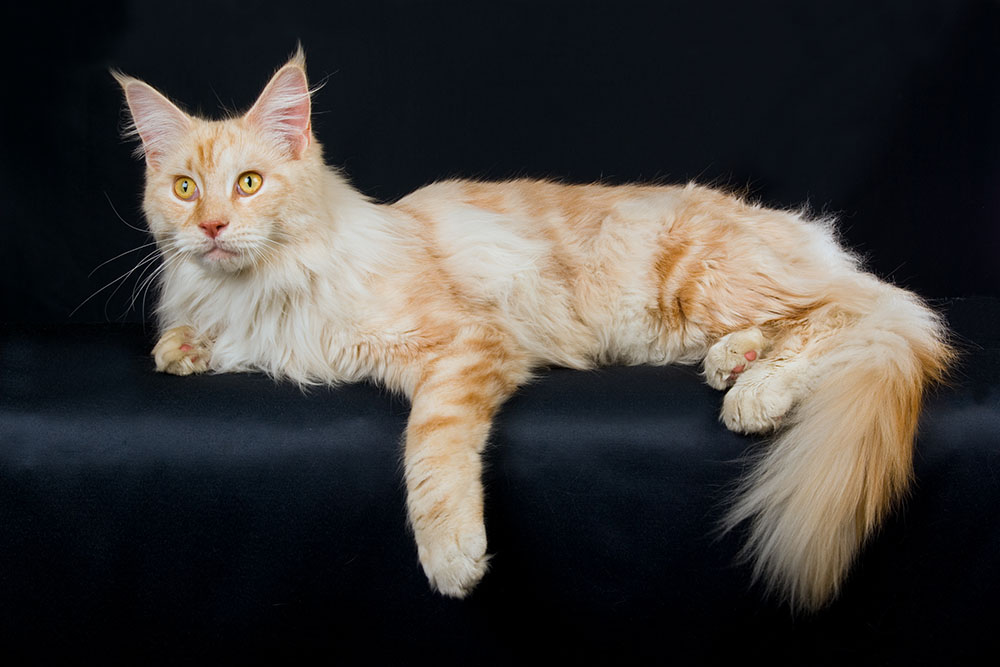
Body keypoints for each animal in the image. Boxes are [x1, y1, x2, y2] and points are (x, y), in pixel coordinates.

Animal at [113, 47, 948, 612]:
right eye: (183, 188)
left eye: (249, 183)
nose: (213, 226)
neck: (267, 287)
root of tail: (798, 231)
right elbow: (178, 343)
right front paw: (185, 348)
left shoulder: (464, 344)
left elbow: (430, 446)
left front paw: (451, 553)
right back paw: (735, 361)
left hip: (709, 277)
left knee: (861, 311)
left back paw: (759, 392)